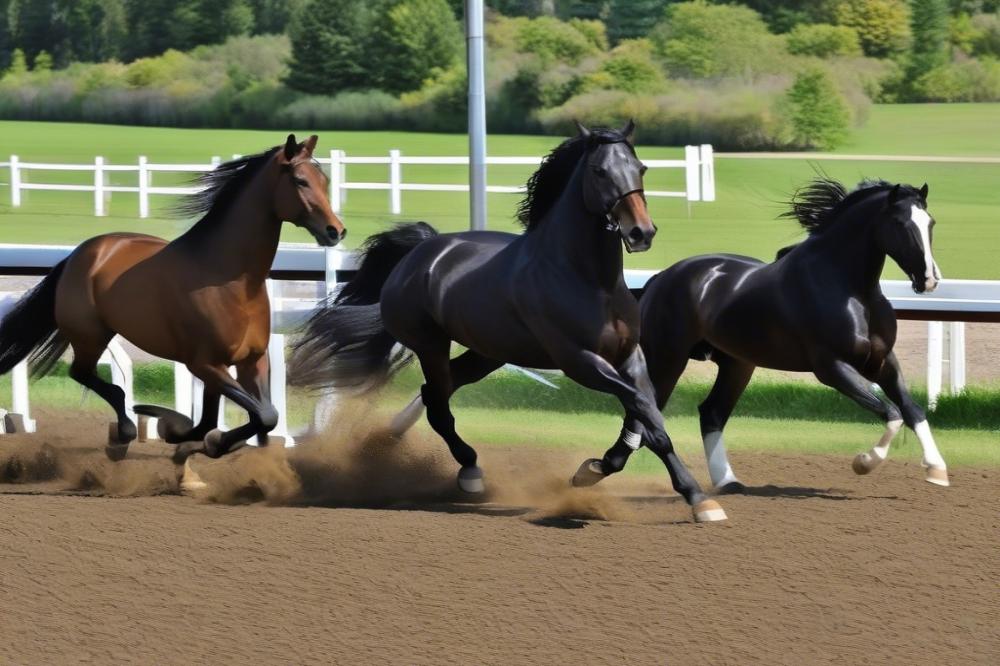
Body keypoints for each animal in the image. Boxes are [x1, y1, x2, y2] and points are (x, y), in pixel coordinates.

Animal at [0, 132, 344, 460]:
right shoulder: (204, 364)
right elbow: (257, 414)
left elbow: (256, 416)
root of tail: (80, 254)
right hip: (90, 336)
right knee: (87, 375)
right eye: (300, 180)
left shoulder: (250, 361)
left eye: (325, 180)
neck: (227, 278)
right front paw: (197, 437)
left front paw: (206, 441)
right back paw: (124, 431)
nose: (336, 231)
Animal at [292, 122, 732, 520]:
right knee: (438, 404)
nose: (642, 232)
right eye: (599, 171)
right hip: (431, 344)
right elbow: (646, 414)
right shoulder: (582, 362)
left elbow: (645, 413)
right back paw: (469, 472)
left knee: (437, 392)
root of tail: (420, 253)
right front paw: (698, 499)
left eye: (640, 168)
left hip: (488, 354)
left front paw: (596, 470)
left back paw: (406, 445)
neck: (590, 280)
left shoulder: (629, 357)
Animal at [576, 179, 948, 490]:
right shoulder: (832, 368)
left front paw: (937, 470)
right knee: (641, 411)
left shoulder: (882, 362)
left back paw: (727, 482)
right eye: (901, 224)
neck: (852, 291)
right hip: (668, 358)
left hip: (737, 364)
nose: (929, 280)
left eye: (930, 223)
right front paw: (865, 462)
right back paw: (597, 468)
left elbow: (912, 410)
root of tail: (661, 278)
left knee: (710, 413)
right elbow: (892, 413)